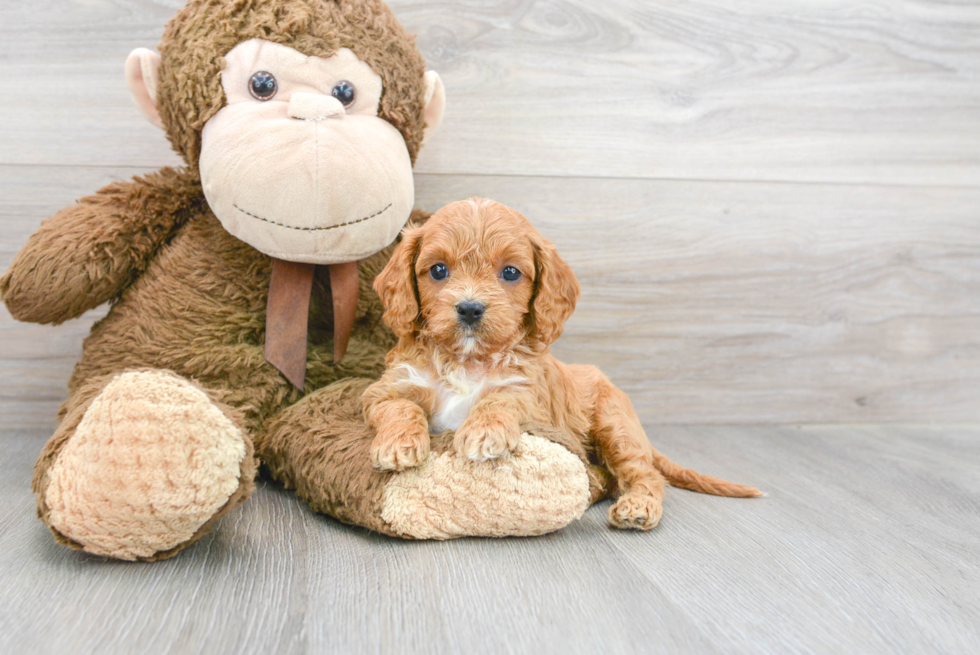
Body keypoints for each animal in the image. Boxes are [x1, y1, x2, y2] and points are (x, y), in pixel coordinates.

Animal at [364, 197, 760, 532]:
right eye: (438, 270)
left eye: (510, 273)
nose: (470, 309)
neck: (468, 359)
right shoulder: (386, 388)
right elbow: (399, 406)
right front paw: (398, 443)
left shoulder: (530, 395)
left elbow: (500, 399)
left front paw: (484, 431)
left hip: (615, 425)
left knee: (644, 474)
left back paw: (638, 506)